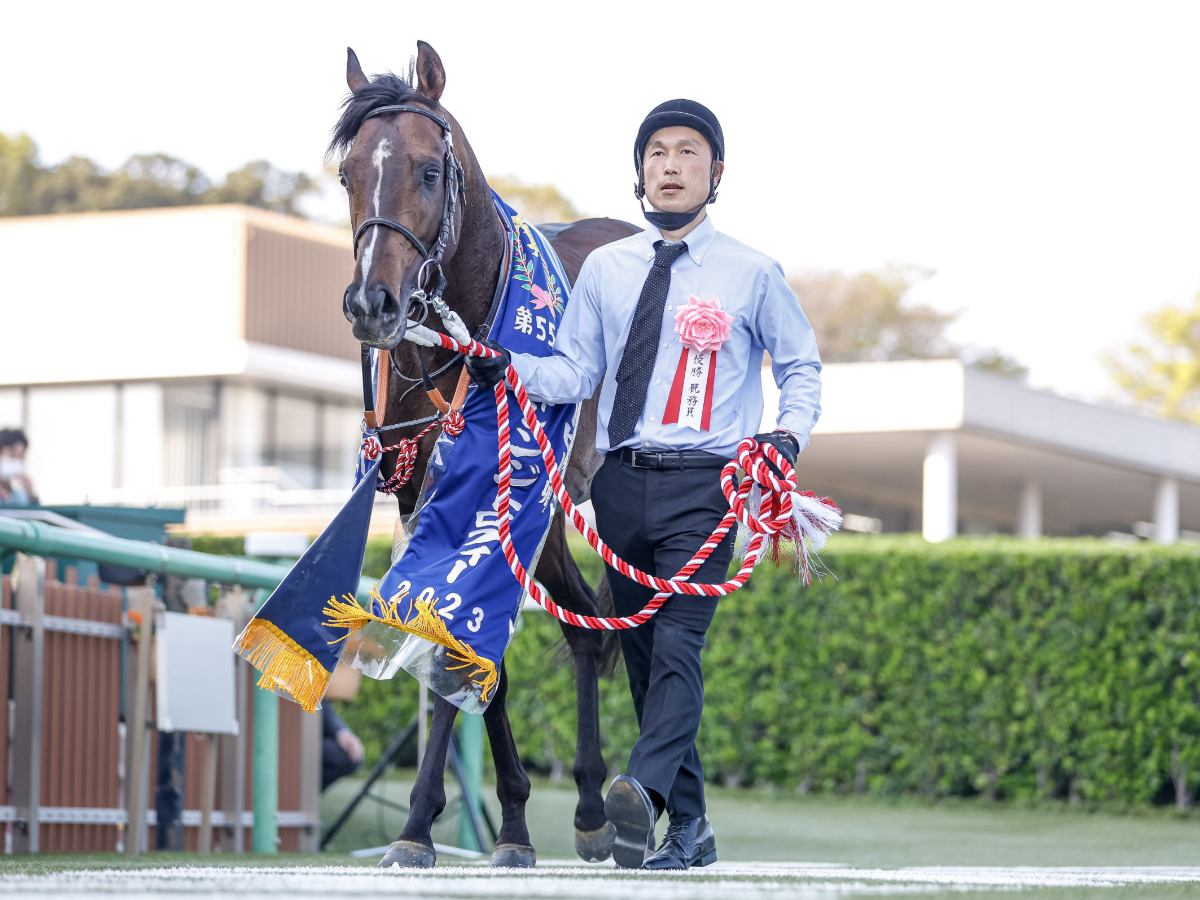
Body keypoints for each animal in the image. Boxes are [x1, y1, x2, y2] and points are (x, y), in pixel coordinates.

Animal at [333, 38, 643, 868]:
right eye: (347, 174)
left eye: (428, 171)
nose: (371, 303)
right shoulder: (425, 496)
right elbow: (466, 646)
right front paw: (502, 824)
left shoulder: (500, 493)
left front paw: (421, 825)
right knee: (584, 626)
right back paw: (593, 807)